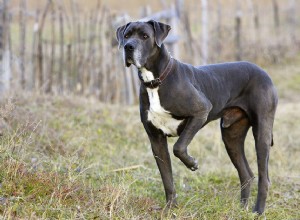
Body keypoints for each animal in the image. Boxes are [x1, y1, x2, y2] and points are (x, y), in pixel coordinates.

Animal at [116, 19, 278, 214]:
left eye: (145, 36)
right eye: (126, 35)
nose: (128, 46)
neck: (155, 81)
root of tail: (263, 71)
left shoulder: (201, 111)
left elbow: (178, 147)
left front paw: (192, 163)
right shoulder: (156, 140)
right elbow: (167, 178)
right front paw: (170, 209)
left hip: (262, 132)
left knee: (264, 177)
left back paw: (258, 210)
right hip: (231, 136)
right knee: (246, 174)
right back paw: (242, 209)